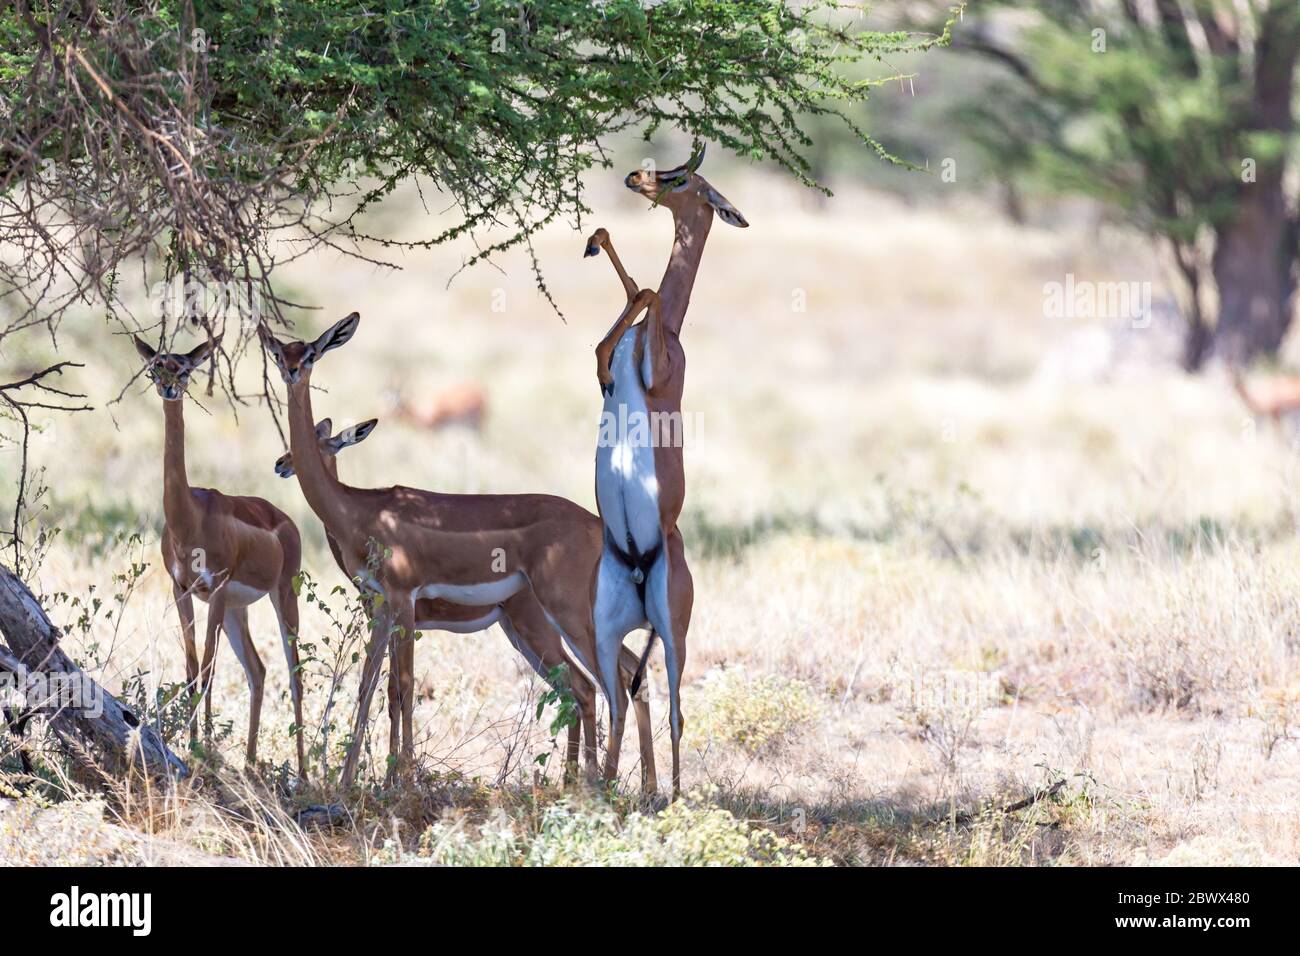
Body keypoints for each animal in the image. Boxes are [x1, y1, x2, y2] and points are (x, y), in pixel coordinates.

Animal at [133, 332, 305, 775]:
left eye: (184, 369)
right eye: (154, 368)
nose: (169, 389)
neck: (187, 517)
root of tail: (285, 521)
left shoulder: (217, 588)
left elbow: (208, 669)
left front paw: (200, 749)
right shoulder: (182, 590)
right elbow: (193, 668)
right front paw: (197, 744)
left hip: (280, 596)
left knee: (294, 672)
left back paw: (304, 769)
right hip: (235, 611)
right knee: (258, 670)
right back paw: (249, 760)